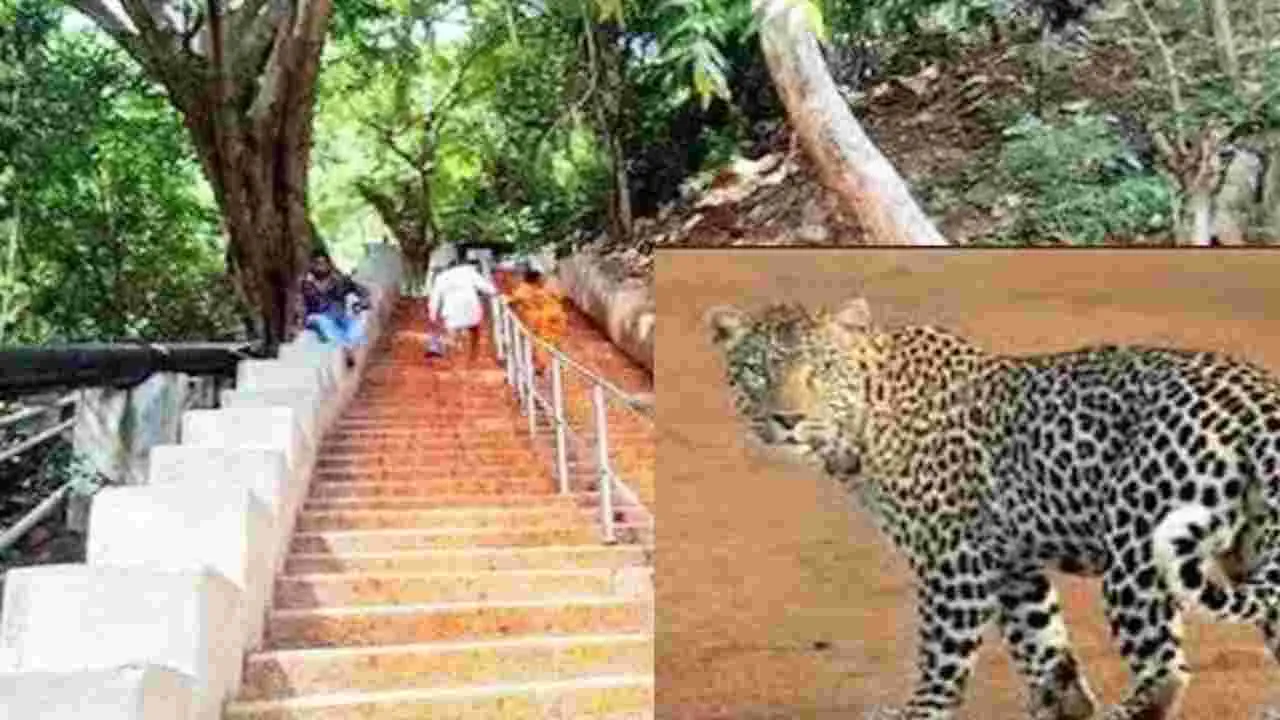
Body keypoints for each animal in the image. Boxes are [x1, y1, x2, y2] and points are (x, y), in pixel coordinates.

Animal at [705, 296, 1280, 720]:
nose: (787, 420)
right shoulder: (1012, 564)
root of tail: (1261, 403)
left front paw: (920, 711)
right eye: (756, 372)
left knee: (1165, 671)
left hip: (1136, 552)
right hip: (1252, 548)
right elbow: (1041, 641)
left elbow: (942, 652)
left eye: (821, 370)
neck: (866, 422)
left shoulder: (952, 561)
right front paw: (1063, 704)